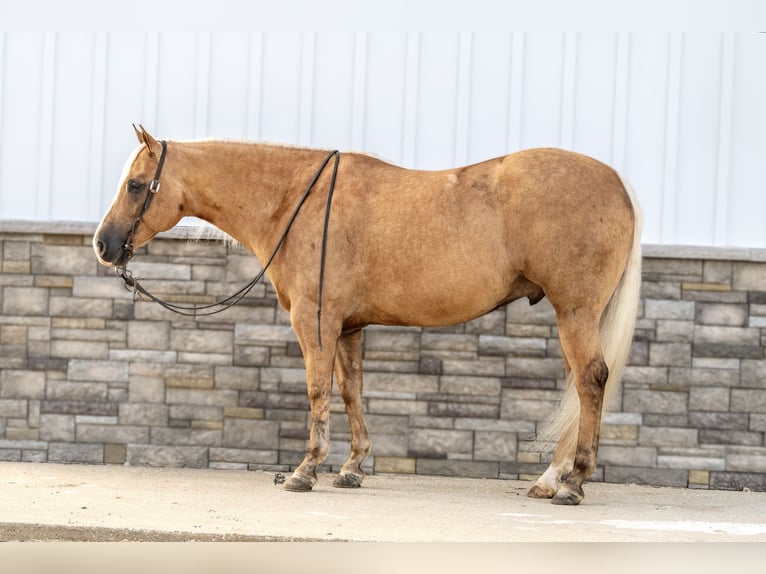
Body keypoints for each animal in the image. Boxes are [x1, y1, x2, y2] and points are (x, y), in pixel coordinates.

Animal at [97, 127, 648, 508]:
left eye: (136, 184)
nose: (103, 246)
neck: (296, 202)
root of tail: (618, 183)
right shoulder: (348, 328)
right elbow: (350, 391)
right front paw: (352, 467)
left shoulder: (314, 324)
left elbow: (318, 391)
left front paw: (305, 470)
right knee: (577, 386)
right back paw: (550, 479)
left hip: (575, 311)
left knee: (590, 381)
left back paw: (573, 483)